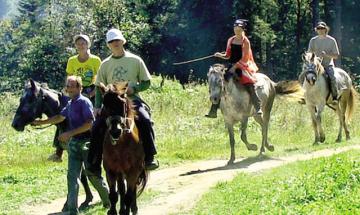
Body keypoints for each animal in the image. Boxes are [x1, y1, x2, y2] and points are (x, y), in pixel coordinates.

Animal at [98, 82, 148, 215]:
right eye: (105, 104)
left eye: (122, 104)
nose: (115, 131)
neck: (120, 143)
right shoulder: (111, 169)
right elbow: (113, 195)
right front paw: (113, 211)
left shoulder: (134, 170)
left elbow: (129, 195)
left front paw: (128, 210)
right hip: (120, 171)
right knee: (121, 189)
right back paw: (122, 209)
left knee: (132, 189)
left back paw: (133, 209)